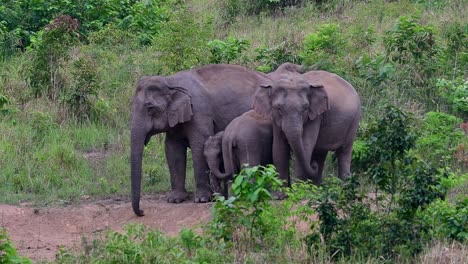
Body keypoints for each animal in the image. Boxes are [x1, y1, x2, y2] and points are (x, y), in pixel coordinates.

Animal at [131, 64, 270, 217]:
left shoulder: (199, 111)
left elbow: (198, 144)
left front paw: (202, 199)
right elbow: (172, 149)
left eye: (150, 109)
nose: (142, 212)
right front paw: (174, 200)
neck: (171, 81)